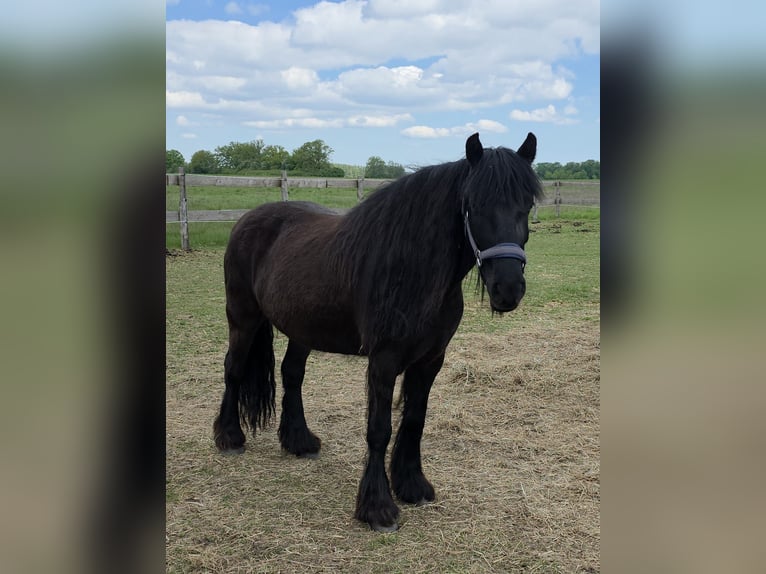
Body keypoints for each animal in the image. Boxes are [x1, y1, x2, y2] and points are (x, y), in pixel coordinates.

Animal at [213, 132, 543, 532]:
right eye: (473, 204)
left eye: (527, 205)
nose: (507, 289)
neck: (411, 270)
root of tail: (247, 219)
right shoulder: (383, 361)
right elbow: (379, 429)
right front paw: (378, 507)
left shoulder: (430, 360)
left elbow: (414, 420)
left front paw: (413, 486)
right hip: (243, 318)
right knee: (233, 369)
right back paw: (230, 437)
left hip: (302, 329)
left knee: (291, 374)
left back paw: (299, 441)